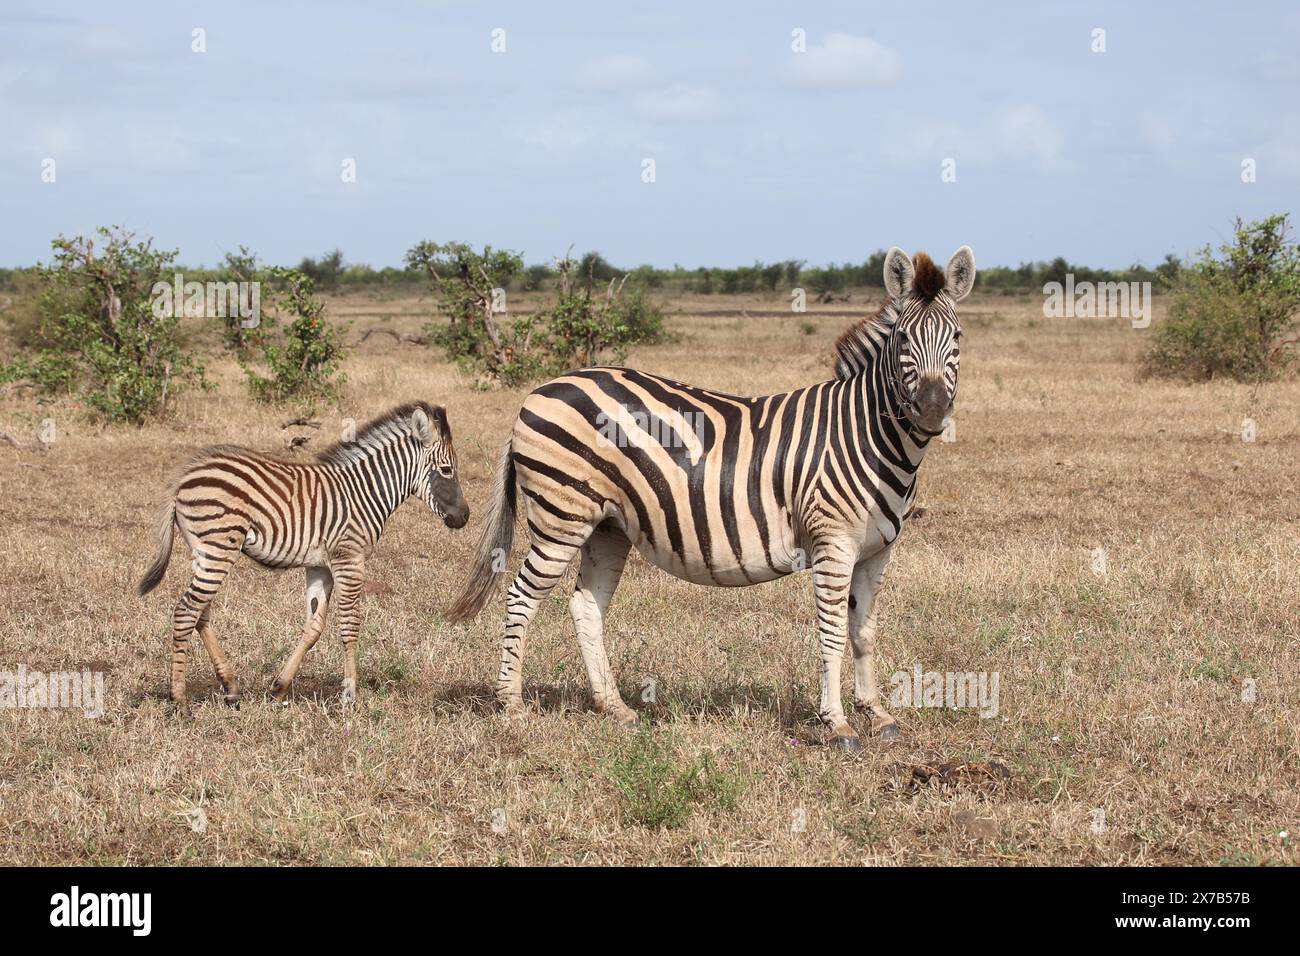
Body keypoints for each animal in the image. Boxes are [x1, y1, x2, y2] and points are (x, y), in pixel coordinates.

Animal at [138, 401, 469, 711]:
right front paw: (349, 696)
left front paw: (279, 688)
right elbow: (350, 624)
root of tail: (185, 474)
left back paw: (230, 688)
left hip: (204, 552)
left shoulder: (320, 566)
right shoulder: (349, 557)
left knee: (200, 612)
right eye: (447, 470)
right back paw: (179, 700)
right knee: (186, 611)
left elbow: (314, 626)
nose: (465, 517)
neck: (364, 492)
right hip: (219, 547)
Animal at [447, 247, 974, 750]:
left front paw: (877, 714)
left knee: (586, 607)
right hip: (562, 516)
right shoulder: (833, 543)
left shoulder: (877, 551)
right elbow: (832, 632)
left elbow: (863, 630)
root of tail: (539, 390)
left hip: (607, 526)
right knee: (520, 596)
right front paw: (838, 723)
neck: (867, 436)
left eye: (957, 338)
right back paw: (512, 704)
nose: (931, 412)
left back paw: (614, 707)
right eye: (903, 341)